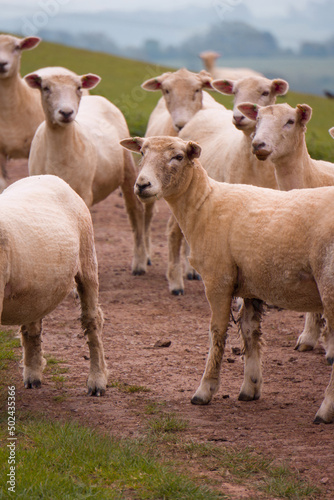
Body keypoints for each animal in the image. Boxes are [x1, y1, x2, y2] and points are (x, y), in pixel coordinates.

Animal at [0, 174, 107, 396]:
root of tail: (50, 177)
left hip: (87, 259)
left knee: (92, 321)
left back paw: (97, 381)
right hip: (34, 289)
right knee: (32, 325)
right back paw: (33, 375)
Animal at [24, 66, 147, 276]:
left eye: (78, 87)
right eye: (46, 88)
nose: (66, 112)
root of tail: (97, 98)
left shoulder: (83, 193)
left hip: (128, 168)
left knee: (135, 211)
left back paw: (140, 263)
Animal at [121, 135, 334, 424]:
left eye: (178, 157)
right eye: (142, 152)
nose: (142, 185)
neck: (204, 204)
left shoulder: (218, 279)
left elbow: (217, 332)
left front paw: (205, 390)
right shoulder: (252, 284)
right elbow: (250, 332)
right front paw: (251, 387)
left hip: (329, 282)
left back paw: (325, 410)